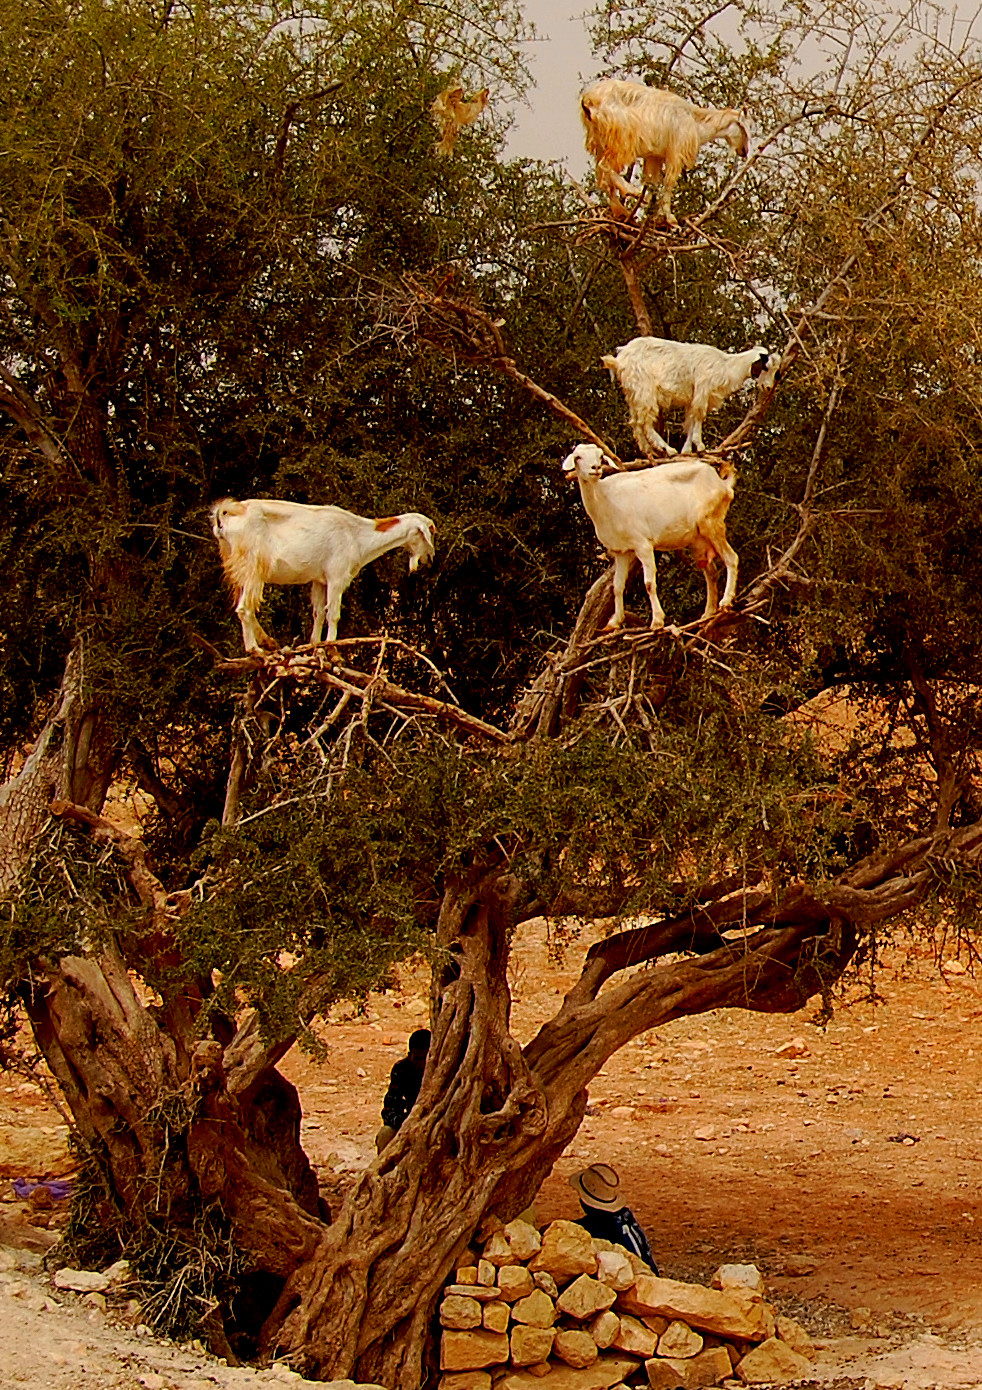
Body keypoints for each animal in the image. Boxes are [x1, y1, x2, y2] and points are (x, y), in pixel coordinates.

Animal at [211, 498, 436, 650]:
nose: (430, 558)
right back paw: (255, 650)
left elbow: (318, 613)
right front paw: (332, 648)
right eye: (429, 532)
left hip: (237, 568)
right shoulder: (336, 577)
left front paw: (315, 645)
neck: (357, 535)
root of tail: (226, 514)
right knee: (244, 608)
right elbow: (333, 614)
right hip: (253, 567)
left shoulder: (319, 580)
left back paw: (269, 642)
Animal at [562, 443, 738, 629]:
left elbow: (649, 584)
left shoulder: (642, 544)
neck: (604, 498)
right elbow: (617, 586)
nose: (595, 468)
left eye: (601, 456)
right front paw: (614, 622)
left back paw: (726, 602)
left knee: (731, 558)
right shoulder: (621, 551)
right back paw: (708, 613)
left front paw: (657, 621)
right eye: (578, 457)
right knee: (711, 572)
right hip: (698, 540)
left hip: (712, 522)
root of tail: (723, 484)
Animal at [580, 79, 749, 223]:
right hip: (621, 139)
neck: (696, 121)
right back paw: (631, 192)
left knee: (604, 180)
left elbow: (651, 183)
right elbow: (669, 183)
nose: (745, 151)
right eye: (743, 127)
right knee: (606, 166)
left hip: (601, 143)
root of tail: (589, 100)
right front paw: (669, 218)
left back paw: (621, 211)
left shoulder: (654, 157)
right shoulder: (676, 152)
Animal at [602, 336, 780, 457]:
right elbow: (699, 416)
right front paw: (700, 445)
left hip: (633, 393)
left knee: (636, 423)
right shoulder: (703, 389)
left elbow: (690, 421)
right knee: (645, 422)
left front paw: (687, 450)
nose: (768, 387)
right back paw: (668, 449)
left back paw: (648, 451)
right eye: (766, 367)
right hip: (645, 390)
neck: (726, 366)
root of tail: (619, 360)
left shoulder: (693, 398)